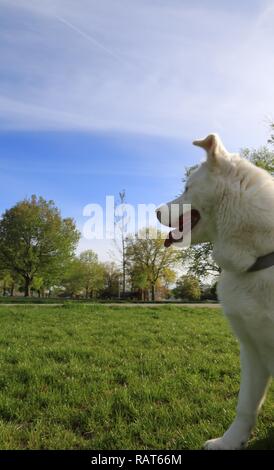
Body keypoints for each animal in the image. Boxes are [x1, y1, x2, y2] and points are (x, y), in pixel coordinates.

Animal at [156, 134, 274, 450]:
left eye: (187, 188)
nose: (156, 211)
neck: (258, 258)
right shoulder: (252, 349)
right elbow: (245, 406)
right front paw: (230, 442)